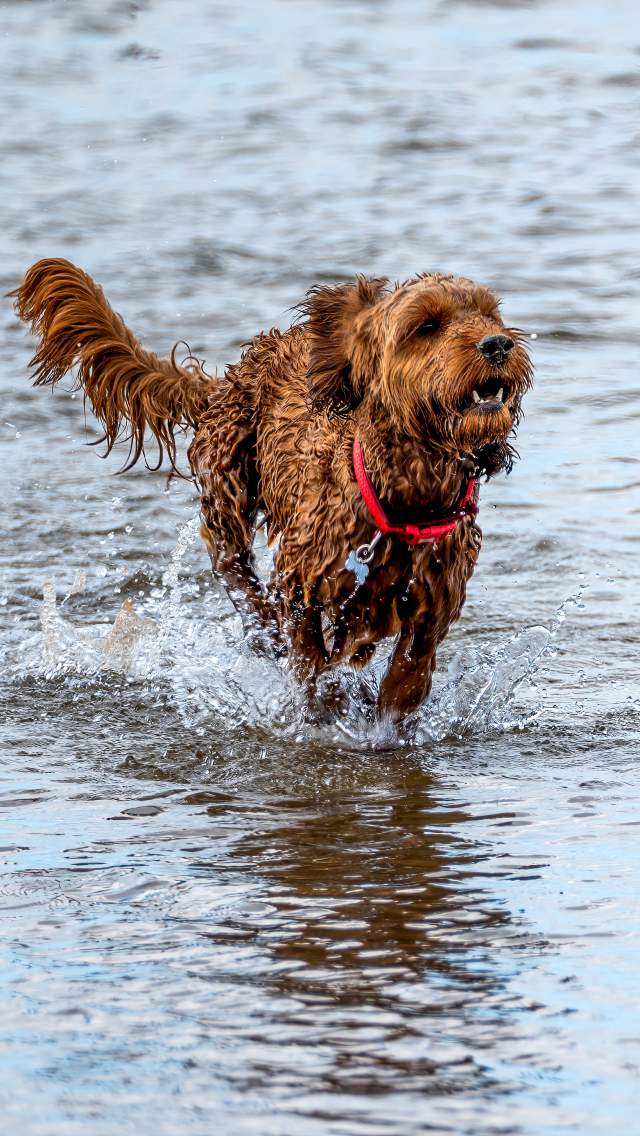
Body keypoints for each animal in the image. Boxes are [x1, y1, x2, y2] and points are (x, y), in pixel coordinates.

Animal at [13, 260, 532, 717]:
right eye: (427, 325)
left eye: (490, 314)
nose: (498, 343)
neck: (408, 496)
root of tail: (239, 370)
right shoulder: (304, 575)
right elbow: (310, 657)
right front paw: (326, 705)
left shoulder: (431, 606)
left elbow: (407, 679)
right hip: (227, 477)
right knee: (230, 562)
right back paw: (264, 627)